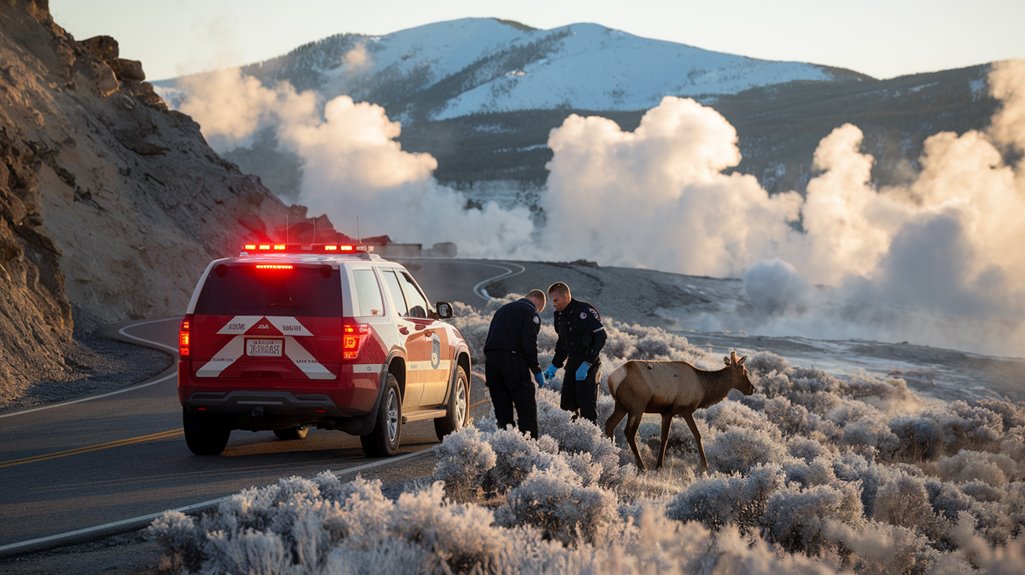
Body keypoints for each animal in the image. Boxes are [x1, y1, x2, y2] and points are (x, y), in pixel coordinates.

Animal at [598, 350, 754, 471]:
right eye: (745, 372)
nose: (752, 388)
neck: (704, 390)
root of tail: (612, 379)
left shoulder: (666, 412)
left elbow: (664, 437)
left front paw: (659, 465)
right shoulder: (683, 410)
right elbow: (696, 435)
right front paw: (704, 465)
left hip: (621, 406)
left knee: (609, 424)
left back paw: (613, 453)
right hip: (637, 407)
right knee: (629, 432)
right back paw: (641, 466)